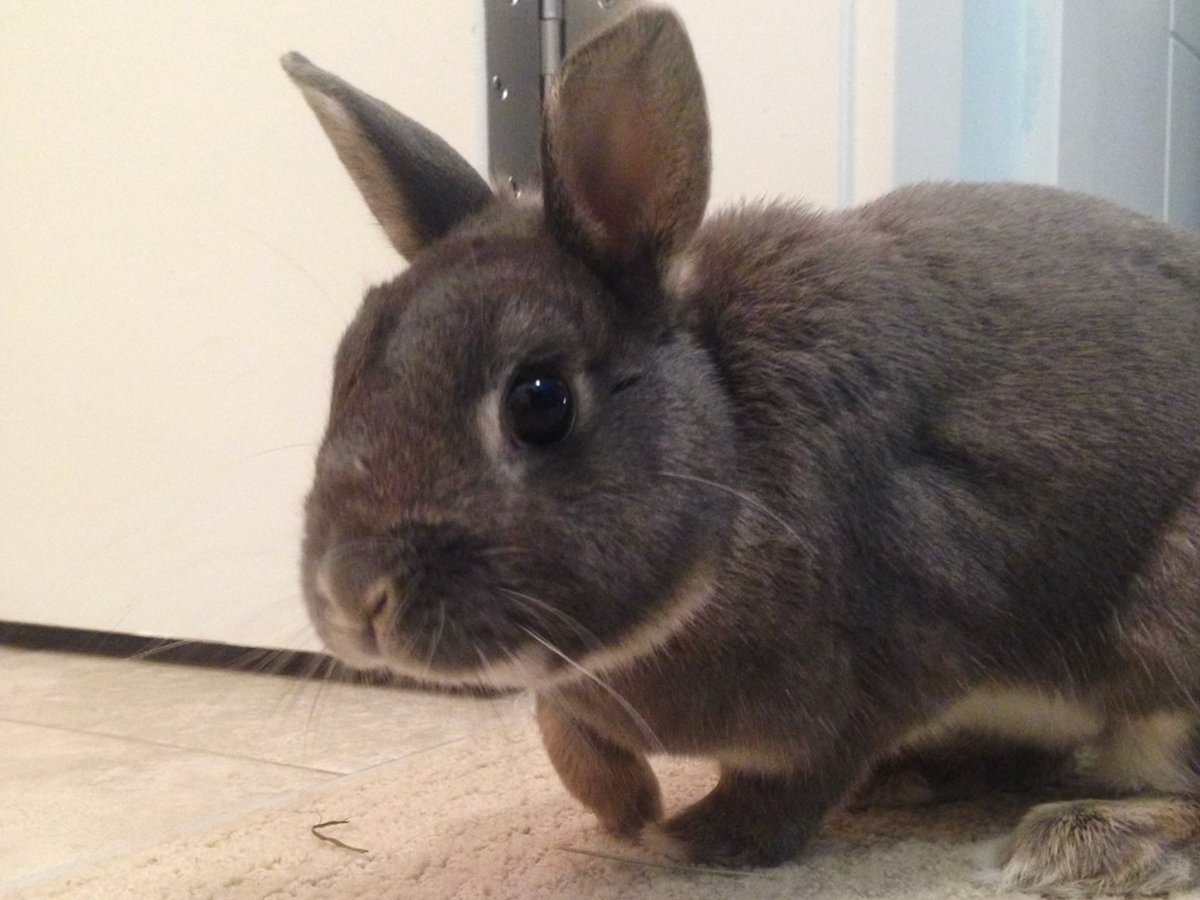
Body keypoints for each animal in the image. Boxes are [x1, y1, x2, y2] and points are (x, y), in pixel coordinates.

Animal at [284, 5, 1200, 895]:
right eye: (344, 365)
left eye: (539, 402)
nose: (351, 594)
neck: (730, 453)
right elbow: (559, 728)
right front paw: (625, 803)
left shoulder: (872, 672)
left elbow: (791, 785)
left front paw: (691, 839)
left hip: (1166, 629)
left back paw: (1084, 841)